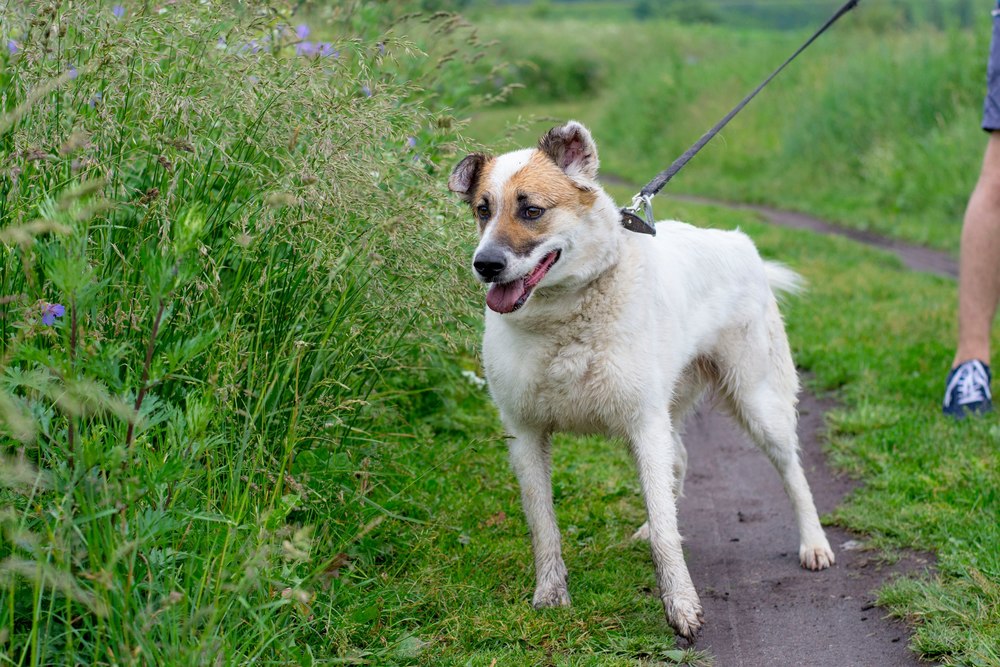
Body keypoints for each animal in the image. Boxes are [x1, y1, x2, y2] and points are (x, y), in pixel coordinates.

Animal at [450, 121, 832, 640]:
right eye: (482, 210)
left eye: (531, 211)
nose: (485, 265)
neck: (565, 313)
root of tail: (739, 243)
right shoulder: (525, 432)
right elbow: (544, 525)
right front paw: (551, 594)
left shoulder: (644, 423)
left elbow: (668, 537)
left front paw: (681, 605)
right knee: (680, 460)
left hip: (758, 402)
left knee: (792, 470)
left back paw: (814, 543)